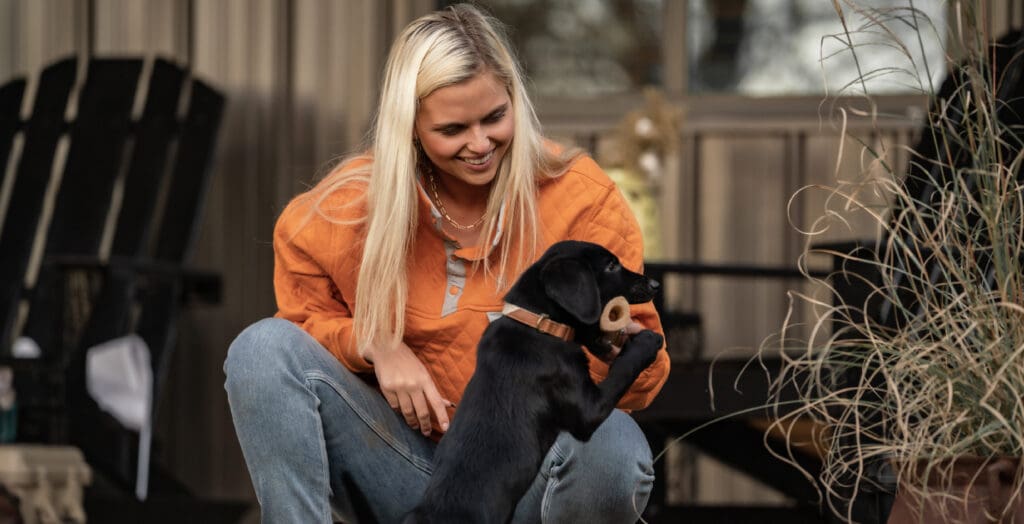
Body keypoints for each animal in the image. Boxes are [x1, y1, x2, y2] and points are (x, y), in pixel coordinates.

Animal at [405, 240, 663, 524]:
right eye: (611, 266)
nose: (655, 284)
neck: (539, 324)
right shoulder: (587, 410)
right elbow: (623, 370)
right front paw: (647, 341)